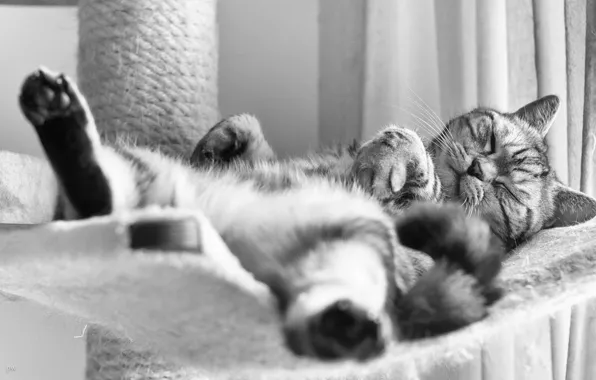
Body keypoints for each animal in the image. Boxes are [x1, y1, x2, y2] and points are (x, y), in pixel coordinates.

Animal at [17, 67, 502, 362]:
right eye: (486, 137)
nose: (478, 172)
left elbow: (412, 162)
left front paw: (390, 162)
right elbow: (246, 124)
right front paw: (213, 146)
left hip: (355, 245)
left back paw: (345, 329)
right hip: (141, 175)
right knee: (98, 200)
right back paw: (56, 109)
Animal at [192, 94, 596, 251]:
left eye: (507, 192)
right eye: (491, 139)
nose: (478, 169)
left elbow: (416, 156)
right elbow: (250, 125)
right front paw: (214, 144)